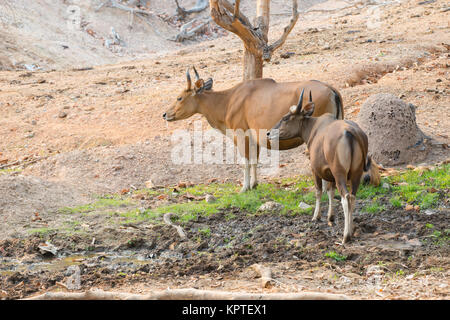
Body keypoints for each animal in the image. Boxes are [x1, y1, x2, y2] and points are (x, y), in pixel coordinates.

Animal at [163, 67, 346, 192]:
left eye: (179, 97)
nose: (165, 114)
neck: (228, 101)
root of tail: (332, 90)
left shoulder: (241, 135)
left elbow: (245, 162)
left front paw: (244, 187)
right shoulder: (255, 138)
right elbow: (254, 161)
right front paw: (254, 184)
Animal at [268, 89, 370, 244]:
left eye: (285, 118)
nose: (268, 133)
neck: (314, 129)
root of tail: (351, 132)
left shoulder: (315, 170)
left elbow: (318, 191)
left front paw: (316, 216)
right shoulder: (330, 174)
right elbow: (330, 191)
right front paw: (330, 217)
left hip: (340, 173)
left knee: (346, 197)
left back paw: (346, 236)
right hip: (355, 174)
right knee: (352, 197)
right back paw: (351, 230)